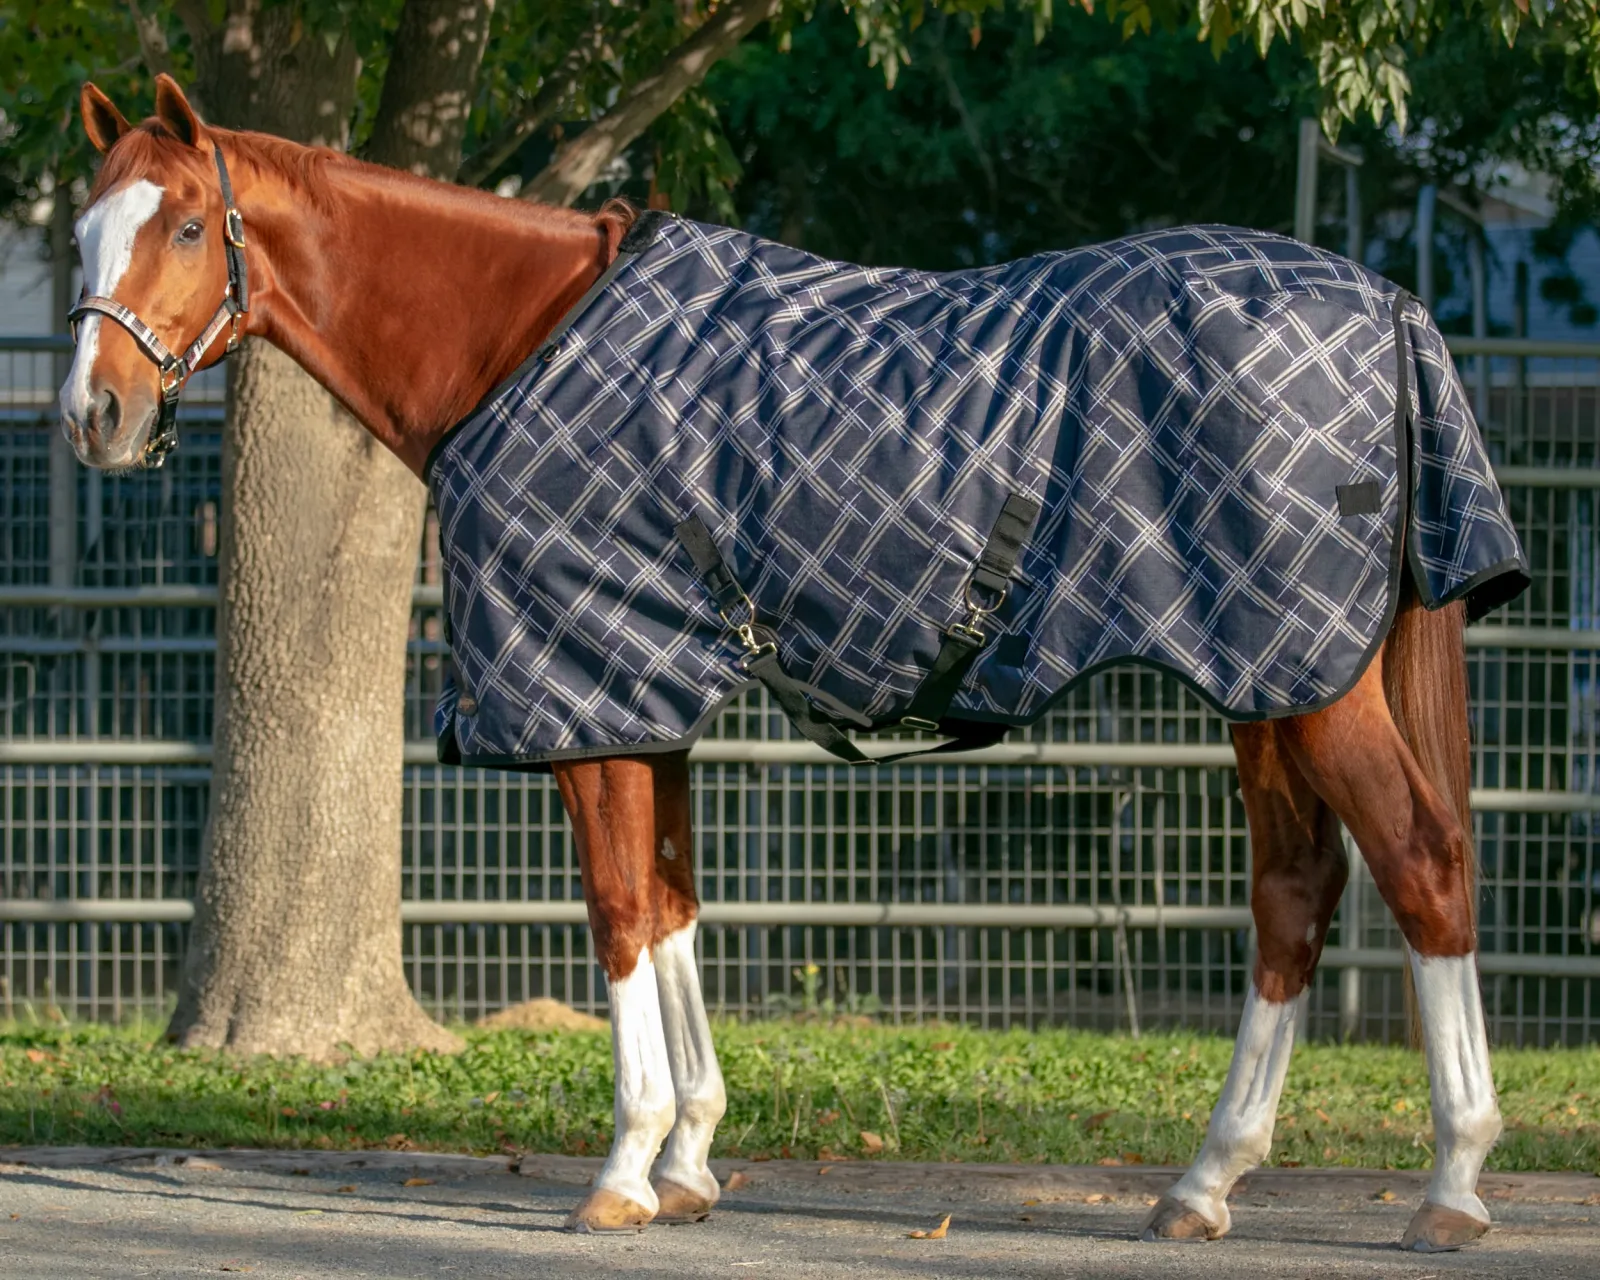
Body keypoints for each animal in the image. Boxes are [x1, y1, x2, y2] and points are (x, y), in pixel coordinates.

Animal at [60, 75, 1517, 1252]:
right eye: (78, 230)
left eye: (183, 225)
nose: (94, 417)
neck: (516, 336)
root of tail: (1389, 307)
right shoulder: (647, 696)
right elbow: (672, 905)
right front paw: (691, 1159)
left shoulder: (587, 692)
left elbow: (618, 913)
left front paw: (622, 1170)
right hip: (1270, 677)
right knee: (1294, 893)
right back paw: (1205, 1183)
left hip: (1307, 680)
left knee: (1422, 860)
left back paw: (1450, 1186)